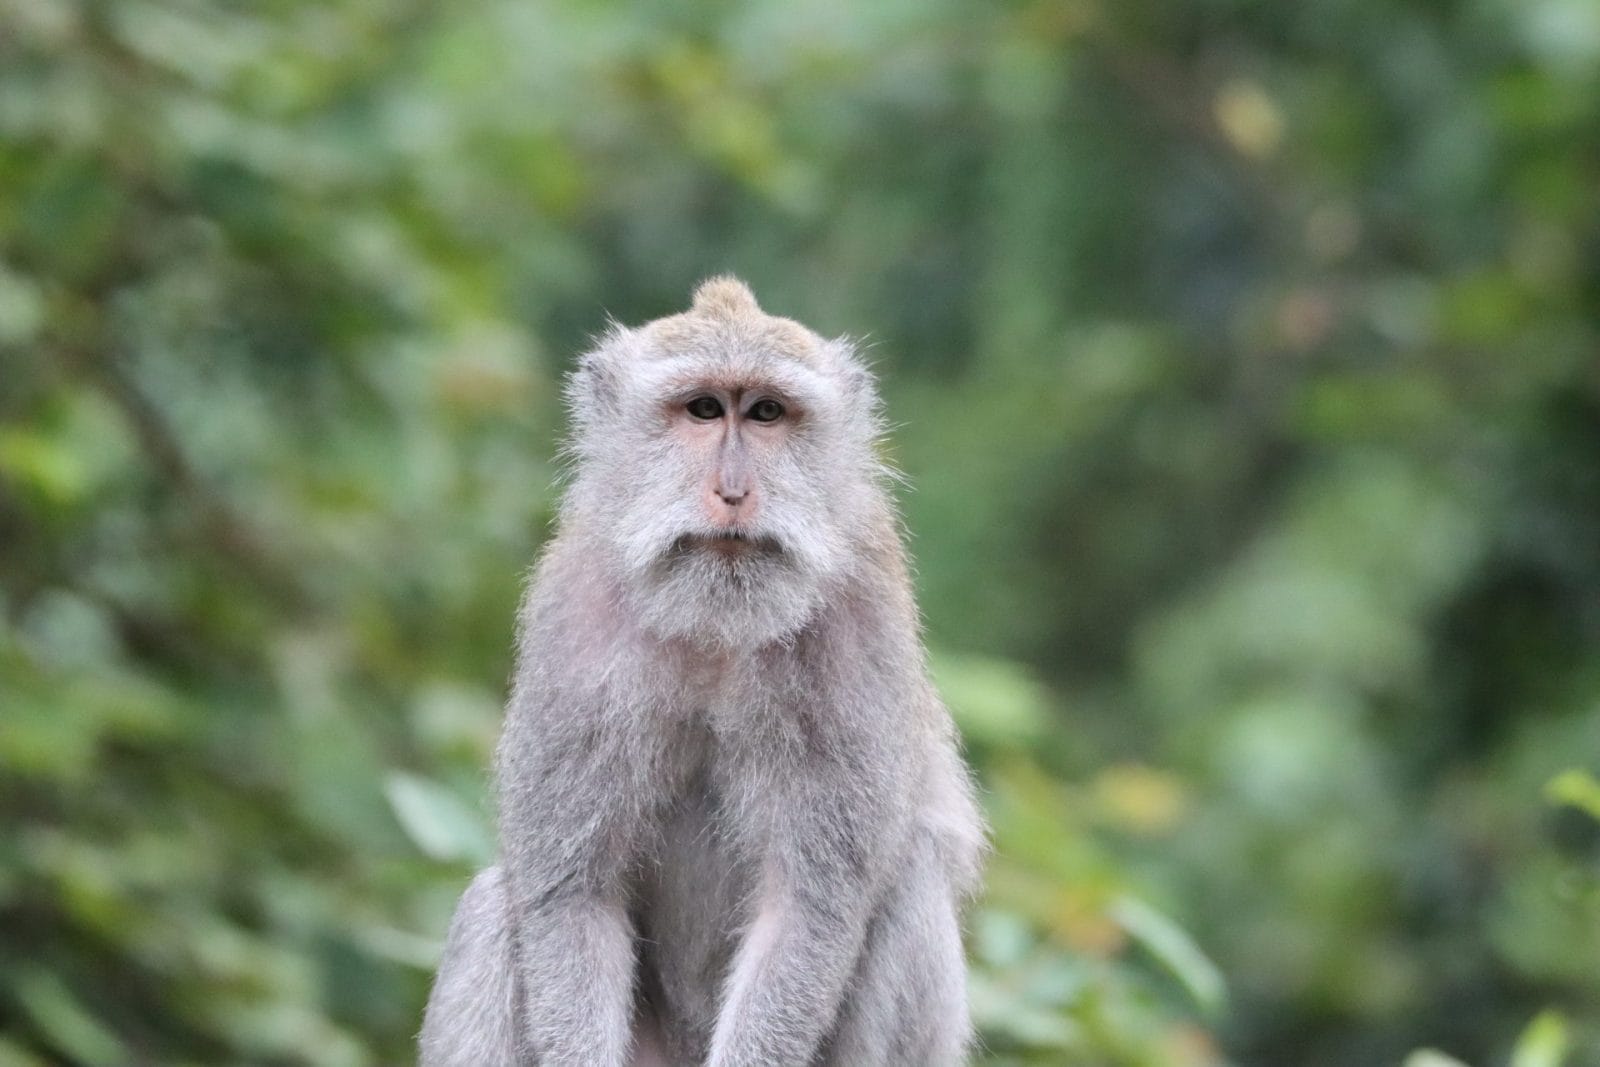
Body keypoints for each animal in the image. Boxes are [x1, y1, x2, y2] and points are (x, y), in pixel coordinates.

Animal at [418, 277, 986, 1067]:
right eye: (704, 409)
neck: (718, 626)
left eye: (768, 412)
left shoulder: (858, 621)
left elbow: (810, 907)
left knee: (908, 888)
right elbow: (571, 896)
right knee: (492, 906)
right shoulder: (574, 623)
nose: (734, 492)